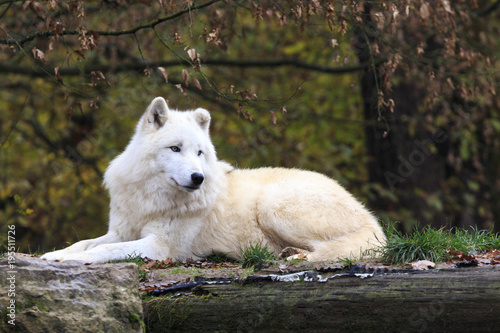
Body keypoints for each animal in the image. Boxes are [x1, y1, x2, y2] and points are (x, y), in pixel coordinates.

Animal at [43, 96, 386, 262]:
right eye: (176, 148)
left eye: (199, 153)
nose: (198, 178)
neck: (152, 199)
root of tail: (374, 222)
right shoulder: (120, 231)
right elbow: (84, 243)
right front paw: (54, 255)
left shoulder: (161, 246)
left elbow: (99, 252)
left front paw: (71, 262)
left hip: (273, 206)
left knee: (337, 248)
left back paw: (298, 256)